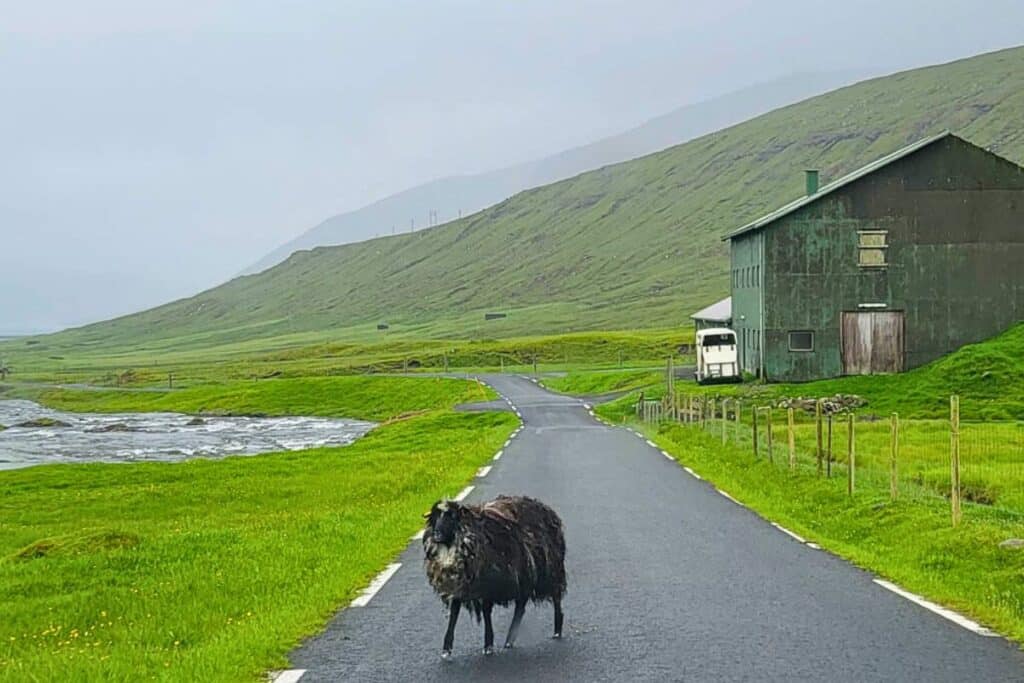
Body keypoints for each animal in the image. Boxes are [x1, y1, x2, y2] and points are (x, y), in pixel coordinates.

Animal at [422, 494, 566, 658]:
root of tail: (545, 508)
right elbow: (453, 615)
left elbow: (486, 613)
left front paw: (488, 645)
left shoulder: (487, 585)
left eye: (451, 517)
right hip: (525, 576)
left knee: (555, 598)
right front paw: (446, 649)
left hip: (551, 570)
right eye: (435, 517)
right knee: (521, 606)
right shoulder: (458, 586)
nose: (437, 534)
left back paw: (557, 630)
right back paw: (510, 640)